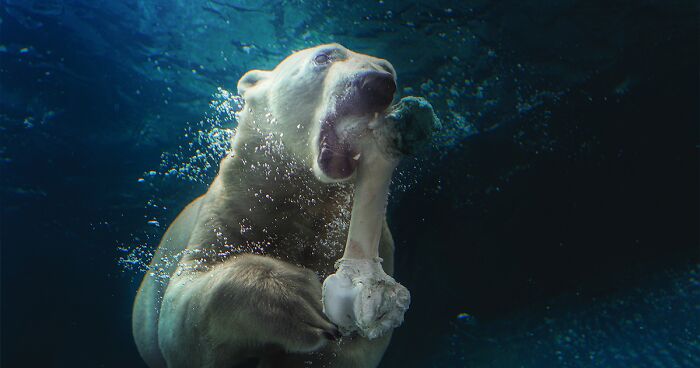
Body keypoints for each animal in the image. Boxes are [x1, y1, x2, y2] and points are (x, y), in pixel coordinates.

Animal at [133, 43, 432, 368]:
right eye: (324, 56)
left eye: (389, 70)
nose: (378, 83)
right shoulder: (233, 207)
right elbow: (181, 305)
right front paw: (297, 297)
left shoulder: (372, 242)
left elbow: (361, 348)